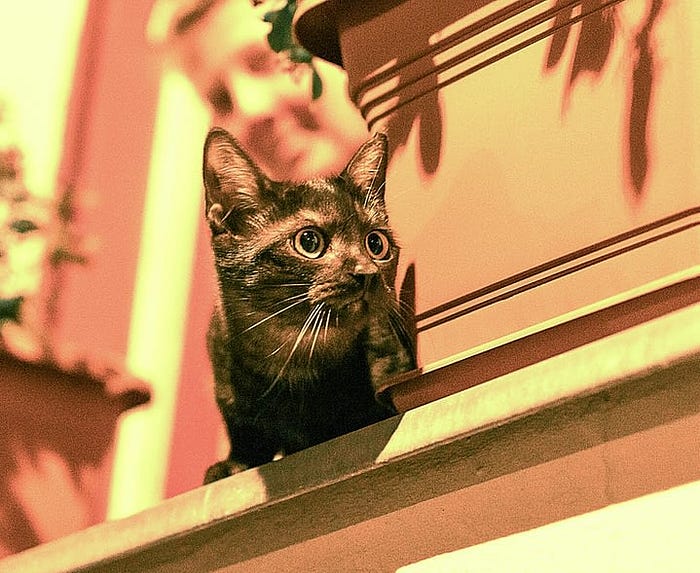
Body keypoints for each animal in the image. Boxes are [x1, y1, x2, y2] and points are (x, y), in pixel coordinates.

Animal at [200, 127, 412, 480]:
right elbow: (245, 432)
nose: (367, 274)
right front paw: (234, 464)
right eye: (309, 241)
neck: (294, 357)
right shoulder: (225, 382)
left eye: (376, 243)